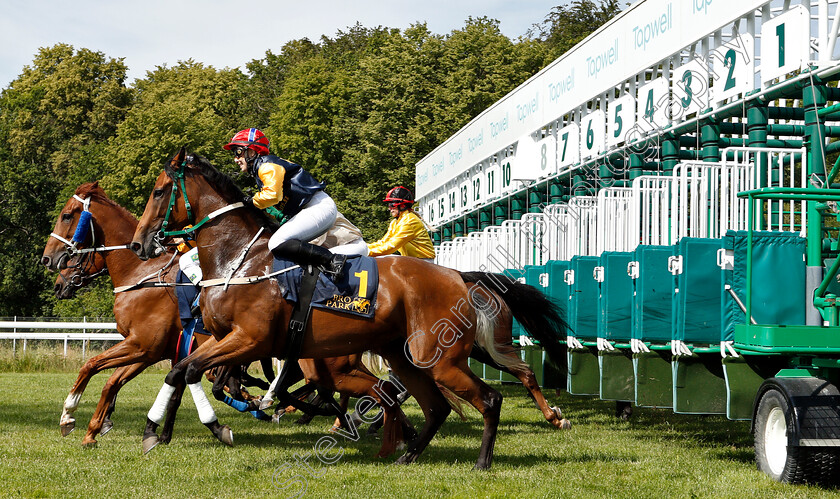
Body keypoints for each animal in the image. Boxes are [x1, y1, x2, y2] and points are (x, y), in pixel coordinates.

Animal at [126, 148, 572, 468]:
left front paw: (221, 425)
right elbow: (184, 372)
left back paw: (484, 460)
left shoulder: (250, 340)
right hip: (407, 356)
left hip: (438, 357)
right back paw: (408, 454)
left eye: (159, 191)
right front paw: (155, 432)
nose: (140, 244)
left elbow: (195, 373)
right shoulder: (225, 341)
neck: (239, 258)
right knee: (436, 404)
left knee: (489, 398)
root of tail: (456, 276)